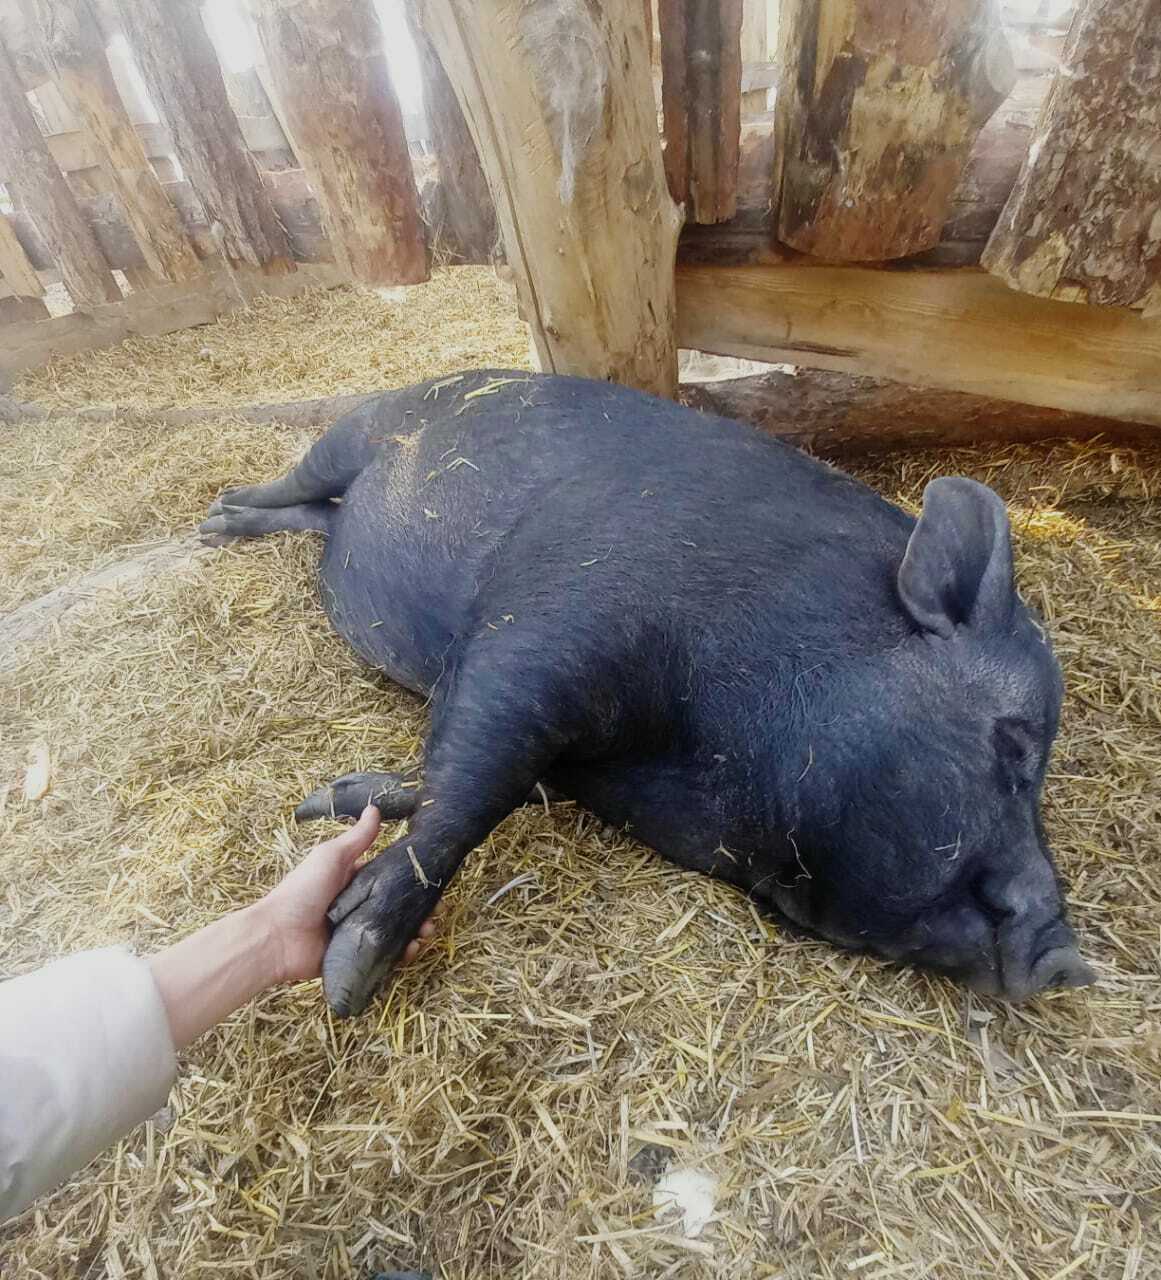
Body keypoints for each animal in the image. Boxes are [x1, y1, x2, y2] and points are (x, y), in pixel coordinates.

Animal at [202, 366, 1100, 1013]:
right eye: (1015, 745)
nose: (1069, 959)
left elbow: (489, 780)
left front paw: (331, 808)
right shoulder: (544, 628)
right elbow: (476, 783)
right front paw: (348, 973)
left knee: (322, 520)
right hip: (358, 429)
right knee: (298, 483)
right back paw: (215, 520)